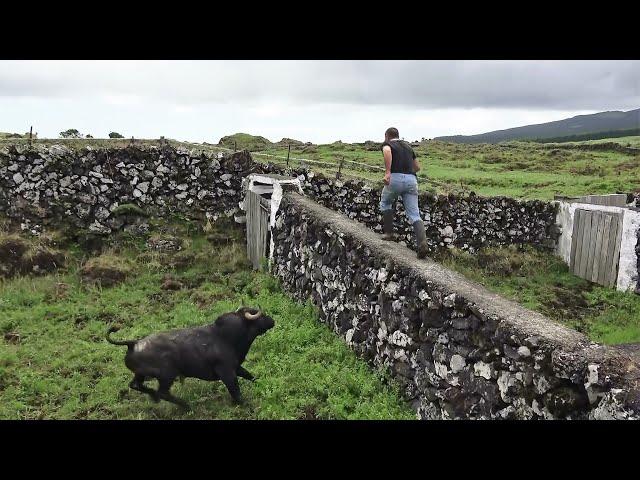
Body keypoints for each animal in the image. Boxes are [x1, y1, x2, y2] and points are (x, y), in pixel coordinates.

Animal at [105, 308, 276, 408]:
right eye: (260, 315)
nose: (272, 320)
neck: (224, 337)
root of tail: (133, 343)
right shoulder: (226, 372)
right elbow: (235, 390)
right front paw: (246, 404)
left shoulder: (236, 367)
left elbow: (250, 376)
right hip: (167, 375)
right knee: (163, 393)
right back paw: (185, 405)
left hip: (141, 375)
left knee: (135, 385)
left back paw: (154, 397)